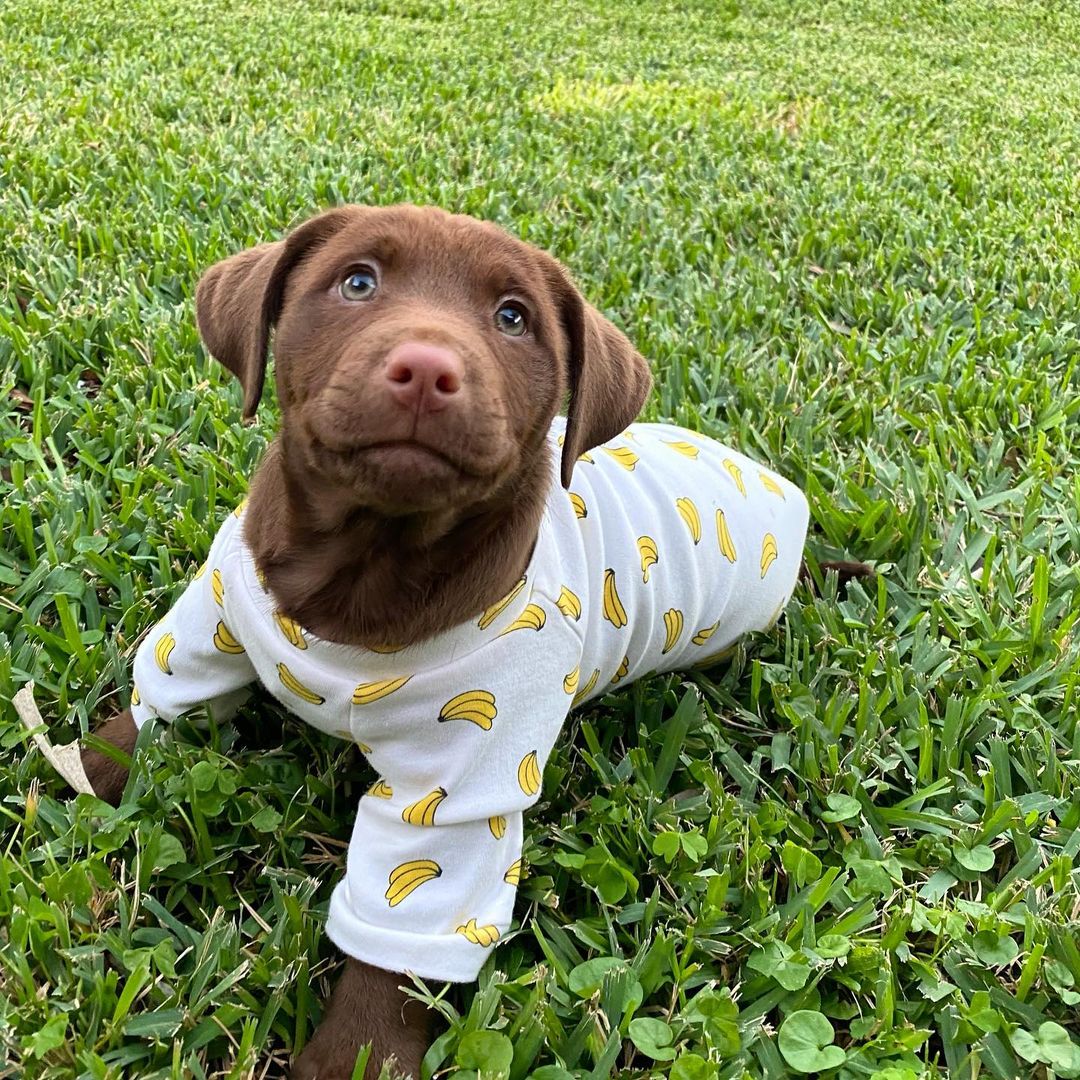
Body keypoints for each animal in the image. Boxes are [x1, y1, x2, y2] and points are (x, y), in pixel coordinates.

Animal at [84, 204, 816, 1080]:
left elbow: (401, 939)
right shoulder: (215, 615)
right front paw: (80, 771)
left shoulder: (462, 791)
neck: (363, 571)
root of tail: (779, 488)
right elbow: (160, 701)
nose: (428, 369)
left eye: (514, 319)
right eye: (356, 281)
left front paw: (356, 1055)